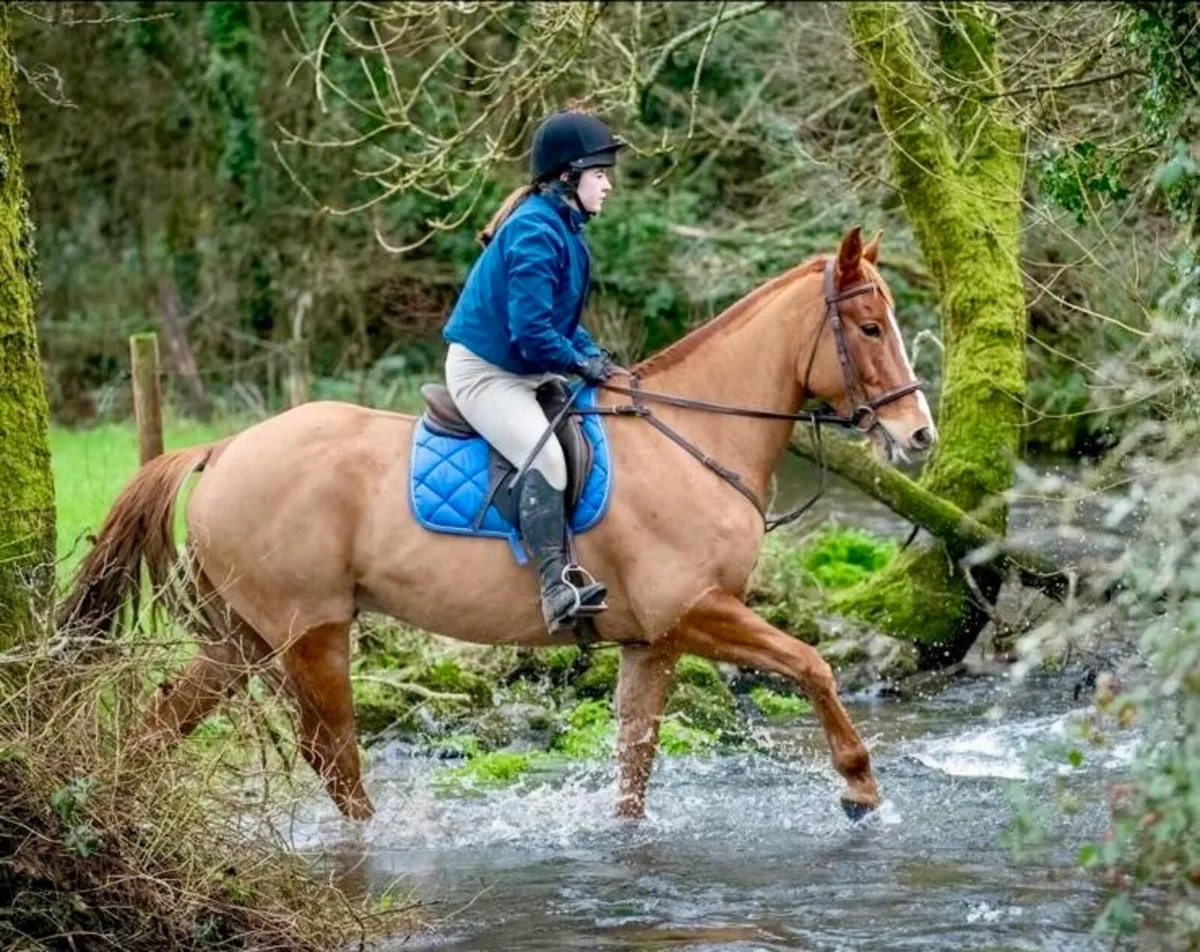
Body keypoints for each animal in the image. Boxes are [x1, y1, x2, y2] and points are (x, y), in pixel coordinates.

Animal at [60, 226, 936, 822]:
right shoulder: (696, 611)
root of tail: (224, 448)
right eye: (869, 329)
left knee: (163, 727)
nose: (920, 436)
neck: (692, 437)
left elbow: (634, 762)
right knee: (333, 758)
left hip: (241, 636)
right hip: (310, 632)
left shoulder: (654, 639)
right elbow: (812, 664)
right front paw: (860, 787)